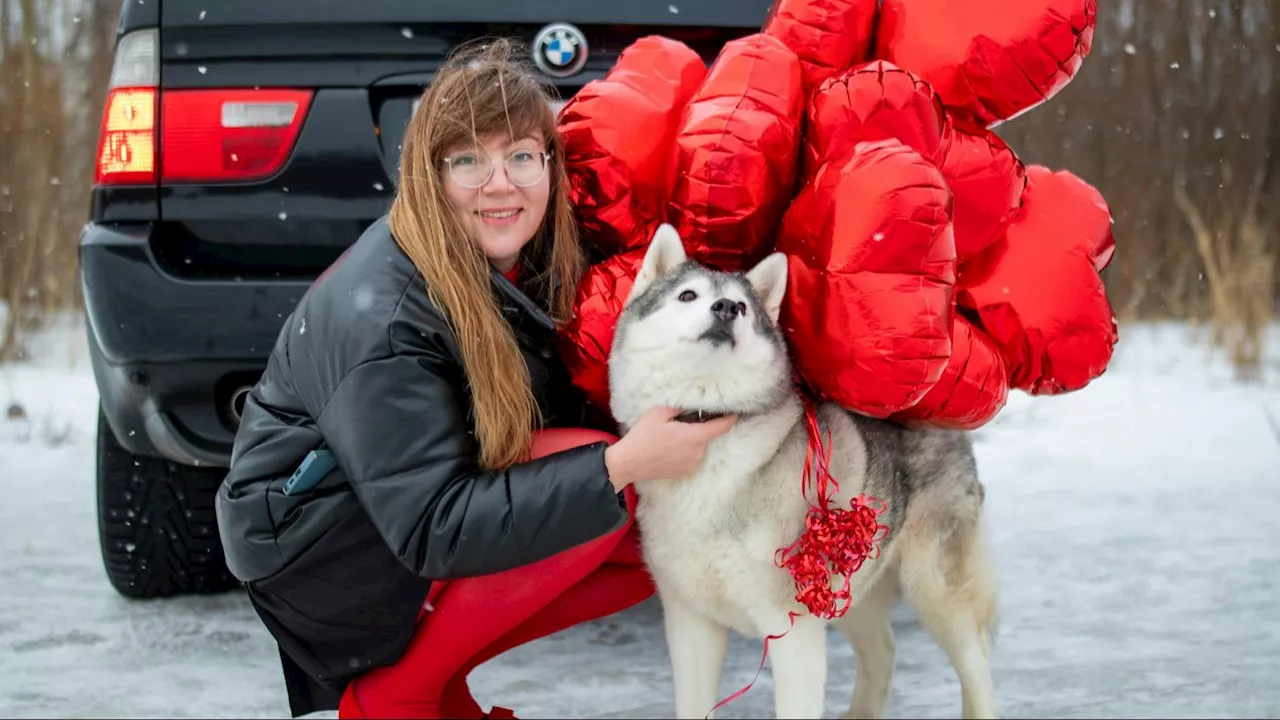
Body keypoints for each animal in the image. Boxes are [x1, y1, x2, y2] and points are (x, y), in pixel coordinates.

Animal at [609, 225, 998, 717]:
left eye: (743, 305)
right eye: (688, 295)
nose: (726, 308)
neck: (707, 435)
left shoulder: (793, 629)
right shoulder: (690, 622)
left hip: (936, 586)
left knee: (976, 663)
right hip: (852, 588)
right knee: (883, 650)